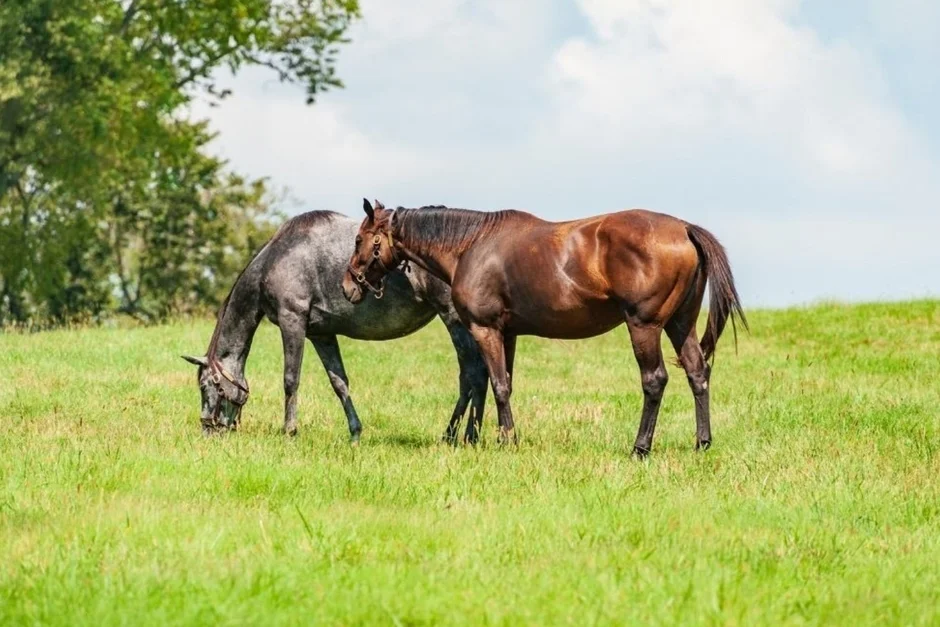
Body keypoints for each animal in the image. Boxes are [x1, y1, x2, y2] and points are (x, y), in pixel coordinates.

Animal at [182, 209, 489, 444]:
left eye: (207, 386)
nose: (208, 430)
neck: (277, 258)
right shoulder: (322, 334)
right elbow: (339, 382)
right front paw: (355, 433)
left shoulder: (292, 322)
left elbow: (290, 380)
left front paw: (289, 432)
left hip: (454, 321)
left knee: (472, 375)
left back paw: (458, 436)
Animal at [342, 199, 747, 456]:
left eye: (360, 239)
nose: (348, 286)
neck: (471, 245)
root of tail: (684, 229)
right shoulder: (507, 333)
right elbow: (501, 383)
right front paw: (497, 437)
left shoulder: (485, 329)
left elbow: (498, 384)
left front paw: (508, 441)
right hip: (680, 324)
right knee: (697, 373)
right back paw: (702, 443)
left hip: (644, 326)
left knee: (655, 380)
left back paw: (640, 447)